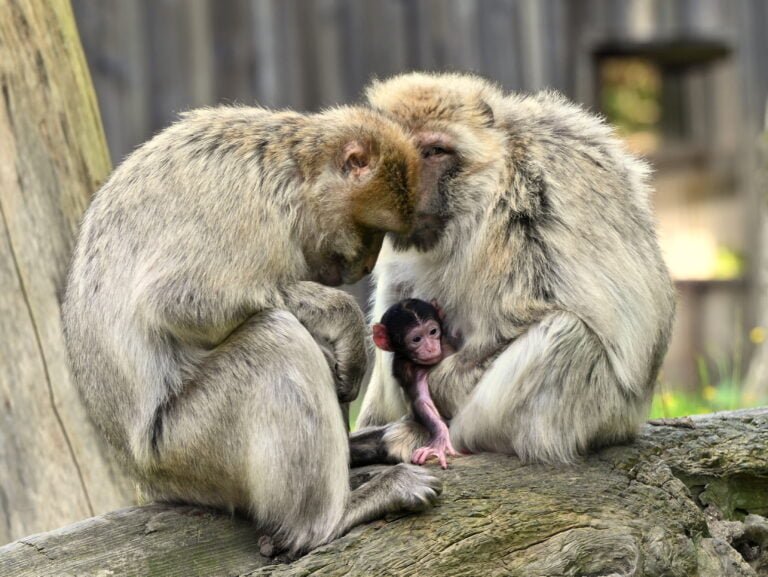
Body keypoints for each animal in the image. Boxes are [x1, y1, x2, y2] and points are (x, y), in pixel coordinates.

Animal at [370, 300, 460, 466]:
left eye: (433, 331)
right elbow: (422, 400)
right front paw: (440, 438)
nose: (431, 348)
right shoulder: (405, 368)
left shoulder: (445, 347)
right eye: (416, 339)